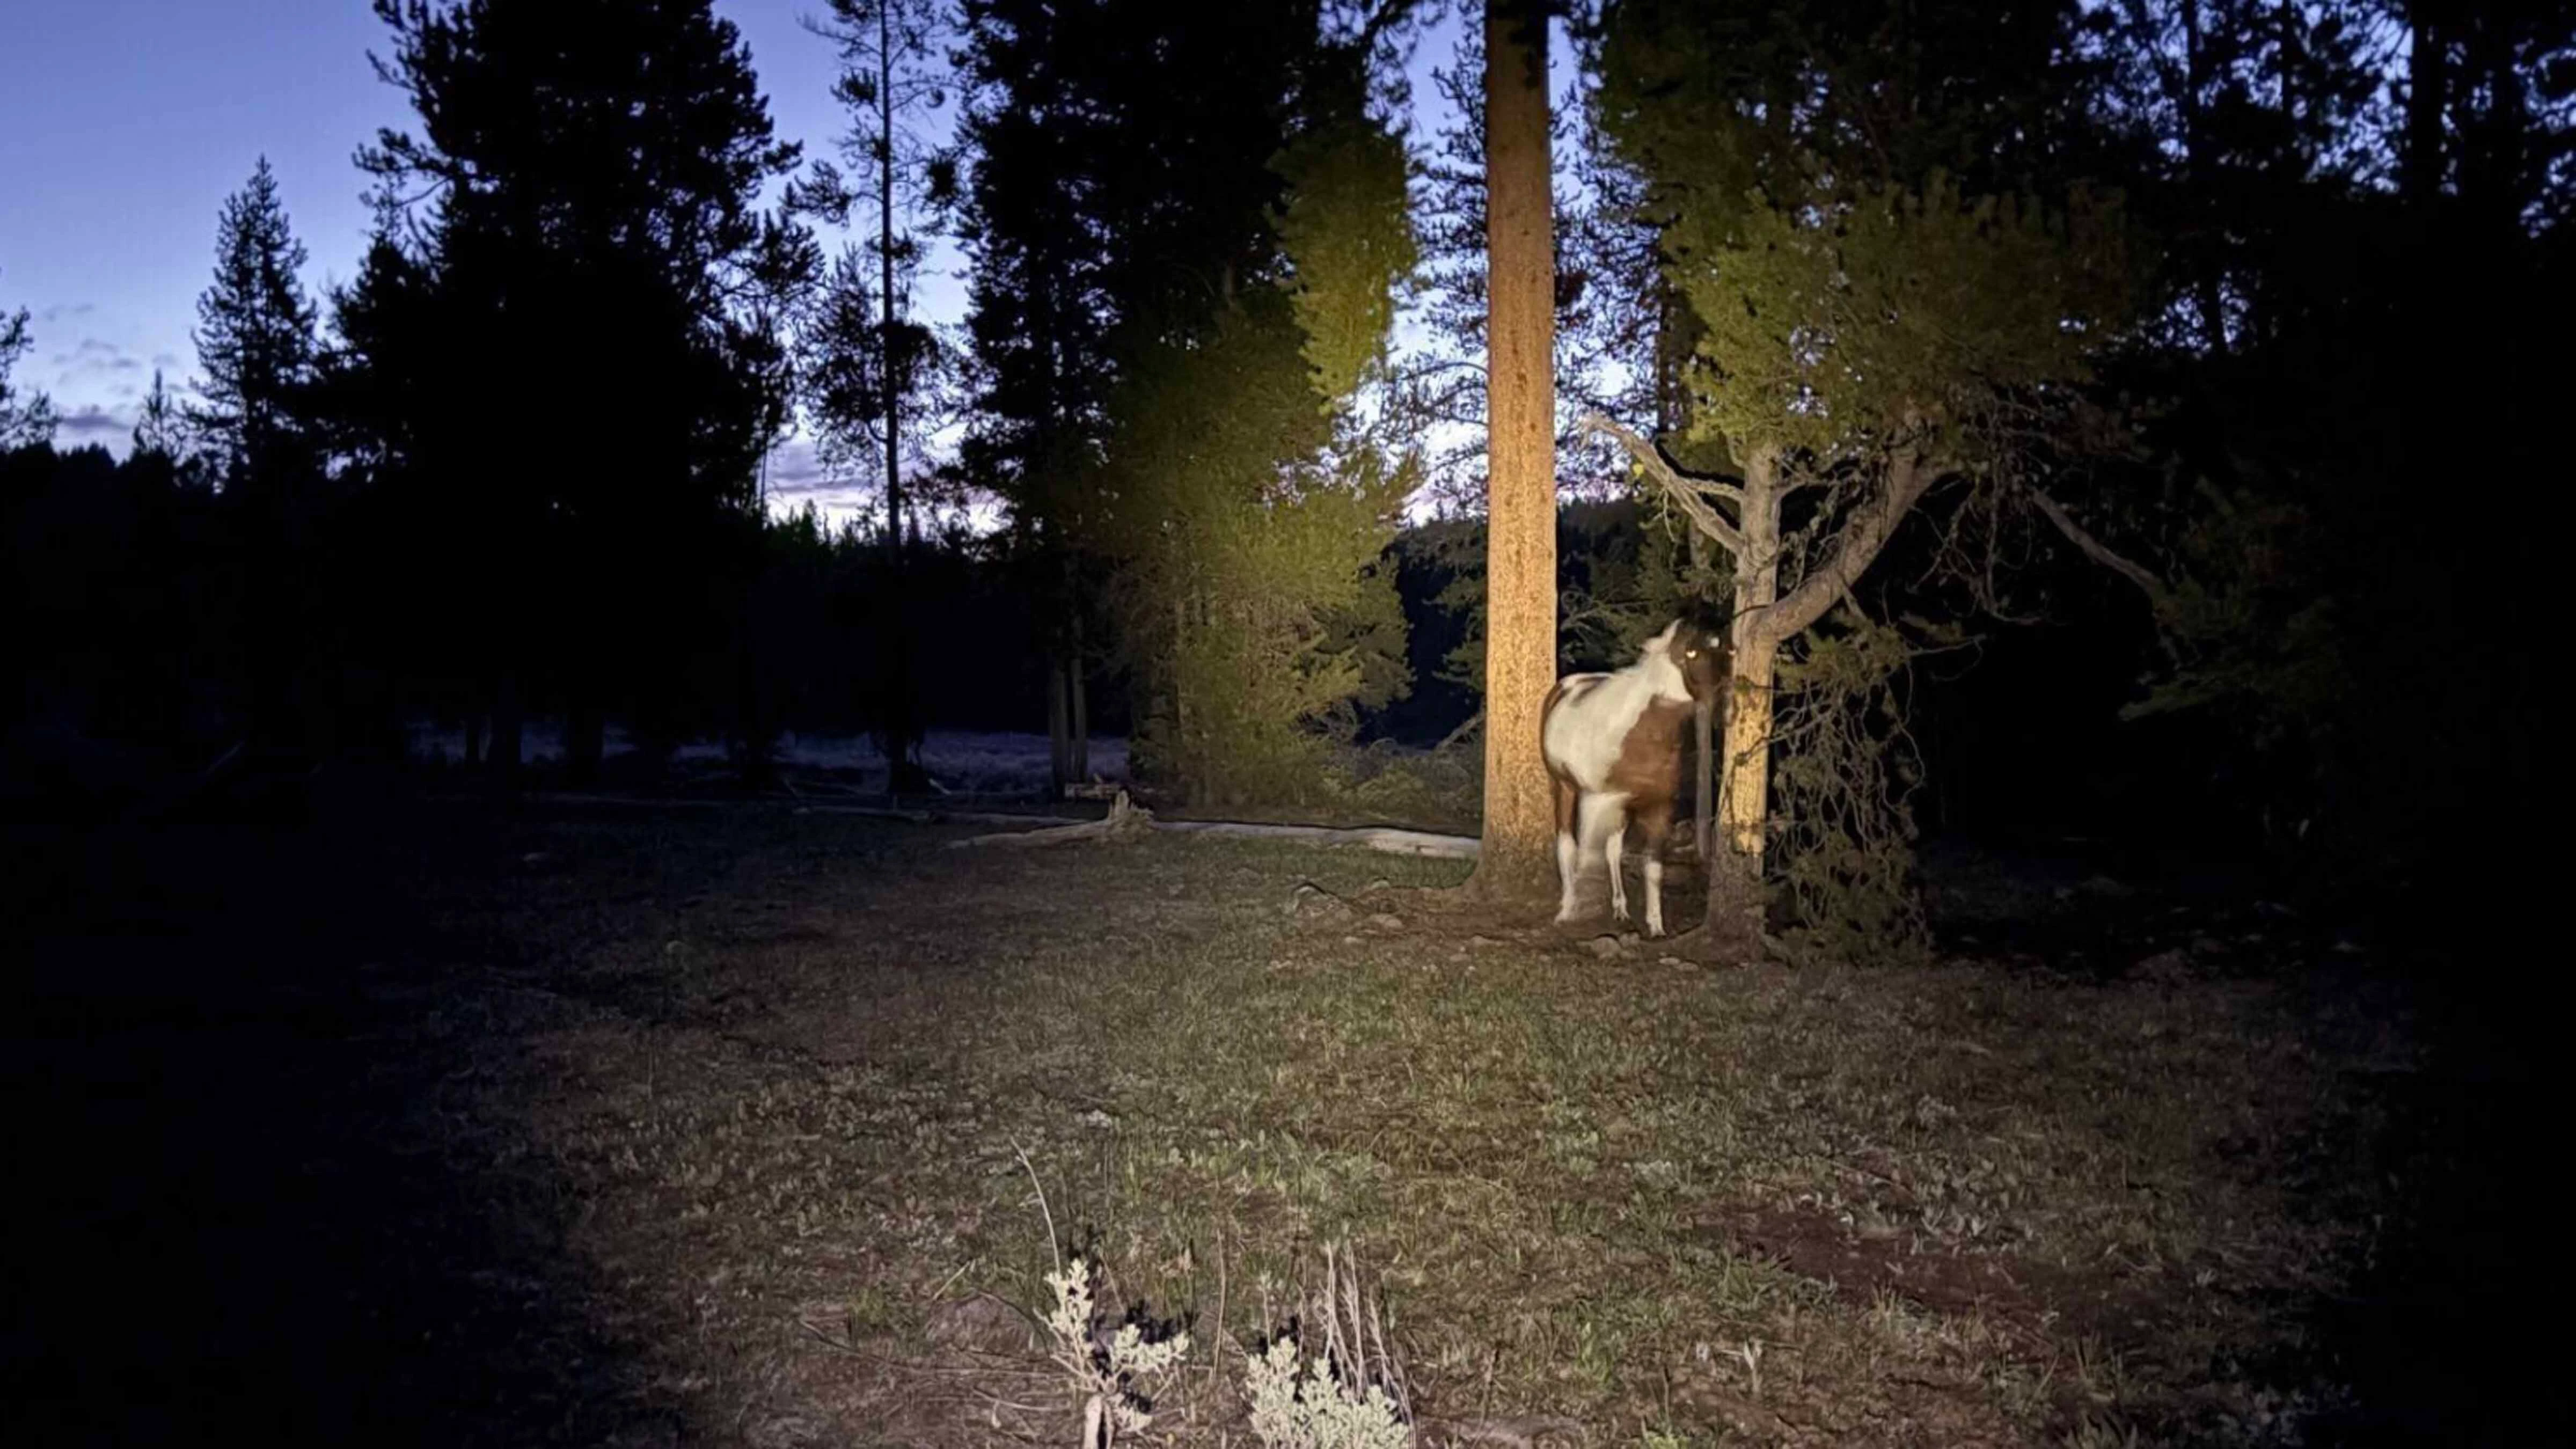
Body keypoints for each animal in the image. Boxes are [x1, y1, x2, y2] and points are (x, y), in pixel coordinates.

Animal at [1541, 618, 1731, 938]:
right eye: (1691, 652)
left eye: (1729, 652)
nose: (1722, 702)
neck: (1641, 734)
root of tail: (1566, 685)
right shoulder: (1597, 802)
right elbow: (1586, 856)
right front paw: (1579, 910)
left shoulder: (1658, 808)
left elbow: (1652, 868)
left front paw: (1656, 926)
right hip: (1565, 787)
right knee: (1568, 845)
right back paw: (1567, 908)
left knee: (1612, 850)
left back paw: (1620, 909)